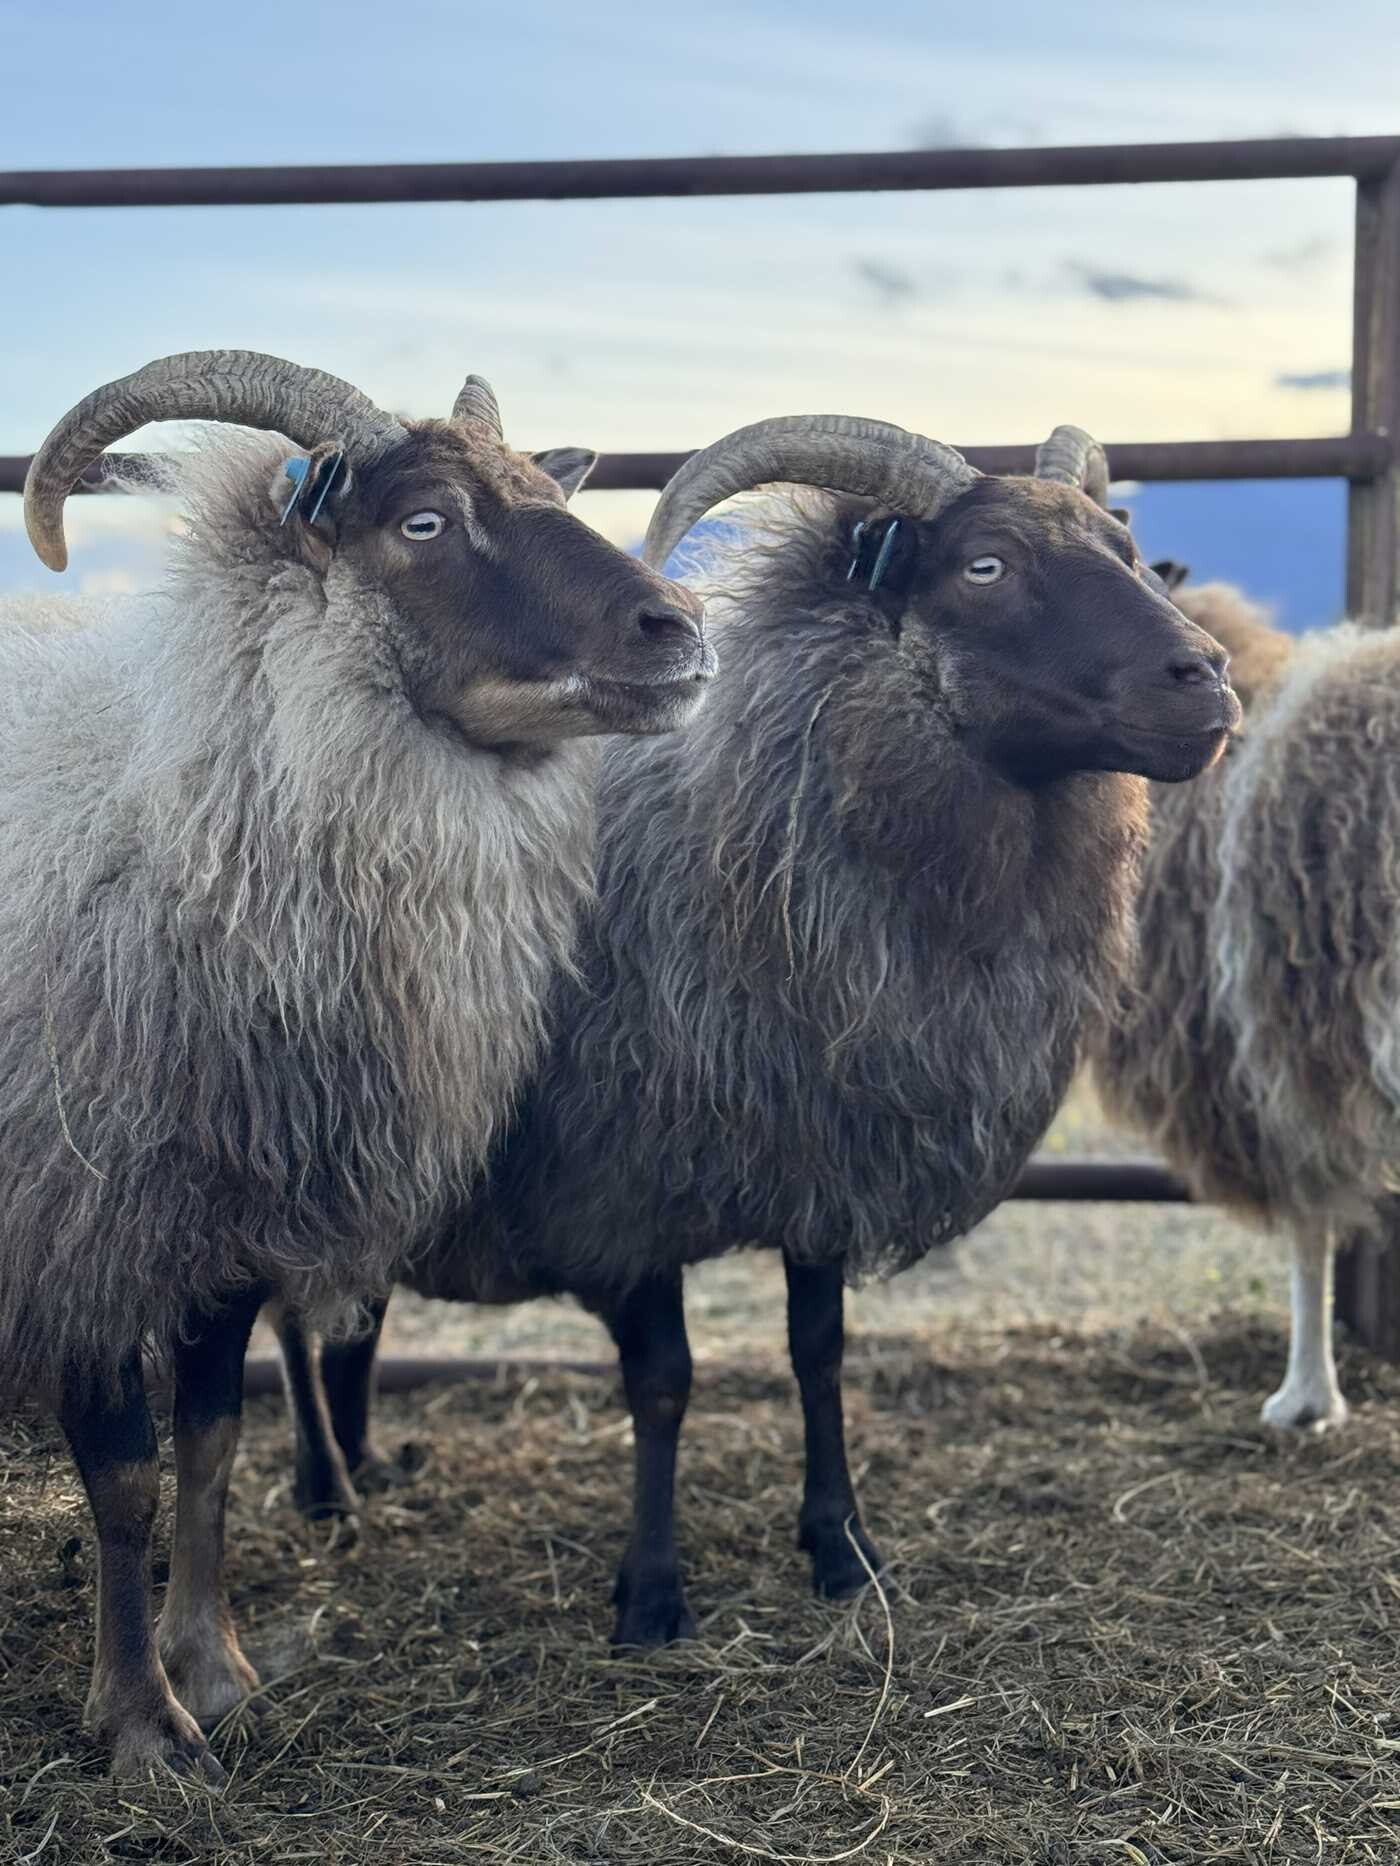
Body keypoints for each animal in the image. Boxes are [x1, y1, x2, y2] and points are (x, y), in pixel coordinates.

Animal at [0, 347, 712, 1782]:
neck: (178, 821)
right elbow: (124, 1478)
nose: (679, 628)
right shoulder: (80, 1225)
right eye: (424, 521)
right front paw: (144, 1727)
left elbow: (212, 1447)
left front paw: (215, 1669)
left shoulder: (223, 1224)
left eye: (547, 486)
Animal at [280, 412, 1238, 1643]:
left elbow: (818, 1356)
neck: (745, 836)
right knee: (294, 1319)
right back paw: (323, 1486)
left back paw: (362, 1465)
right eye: (985, 567)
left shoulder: (819, 1157)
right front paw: (651, 1592)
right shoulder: (620, 1186)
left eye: (1124, 549)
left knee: (351, 1312)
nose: (1204, 677)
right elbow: (664, 1383)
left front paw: (842, 1547)